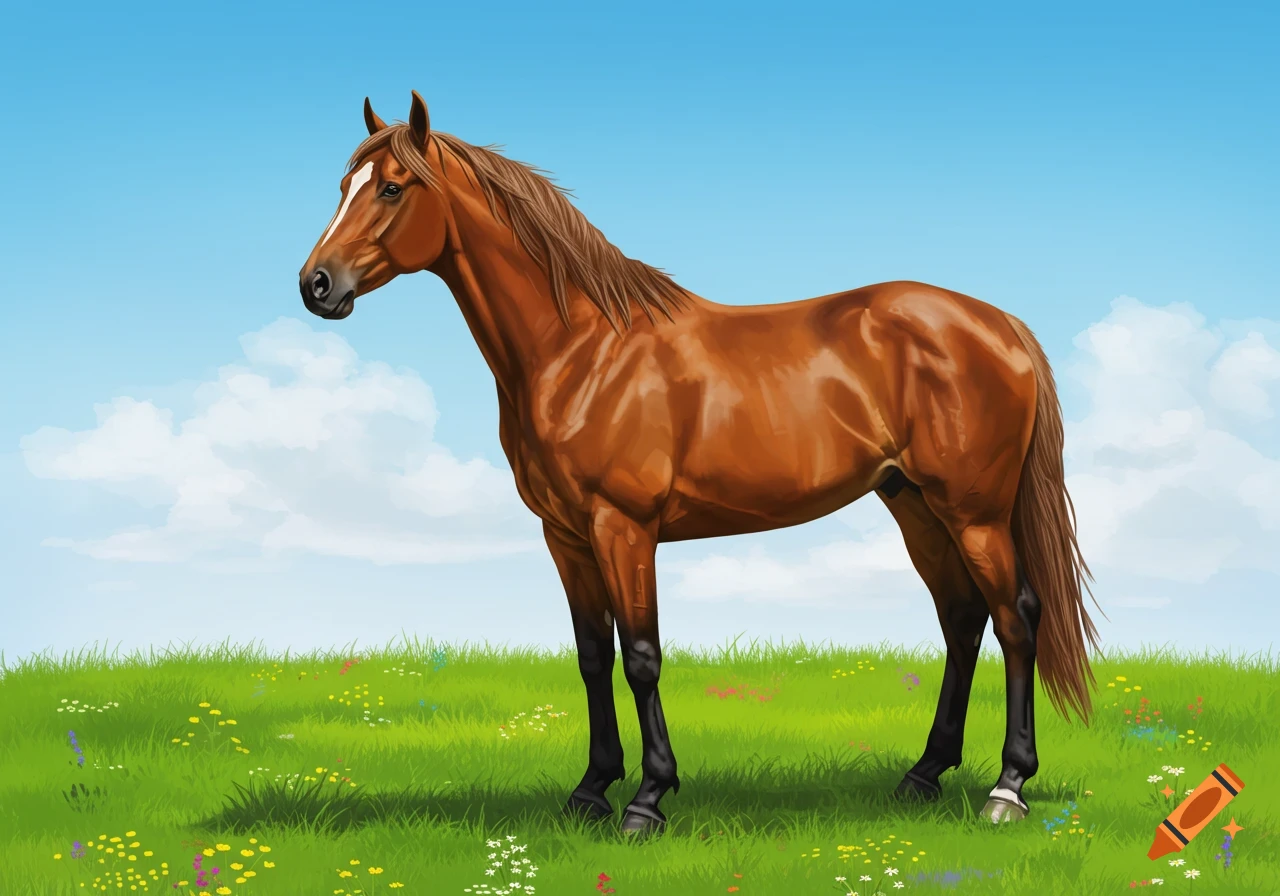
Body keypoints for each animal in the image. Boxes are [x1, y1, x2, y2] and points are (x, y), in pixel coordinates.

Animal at [298, 91, 1100, 835]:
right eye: (343, 185)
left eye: (392, 187)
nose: (317, 285)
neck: (581, 350)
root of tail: (998, 324)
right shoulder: (566, 536)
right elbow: (592, 657)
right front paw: (590, 790)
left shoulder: (623, 526)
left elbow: (641, 654)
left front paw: (647, 800)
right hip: (913, 505)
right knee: (962, 619)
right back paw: (924, 774)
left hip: (974, 512)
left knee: (1015, 619)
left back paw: (1007, 788)